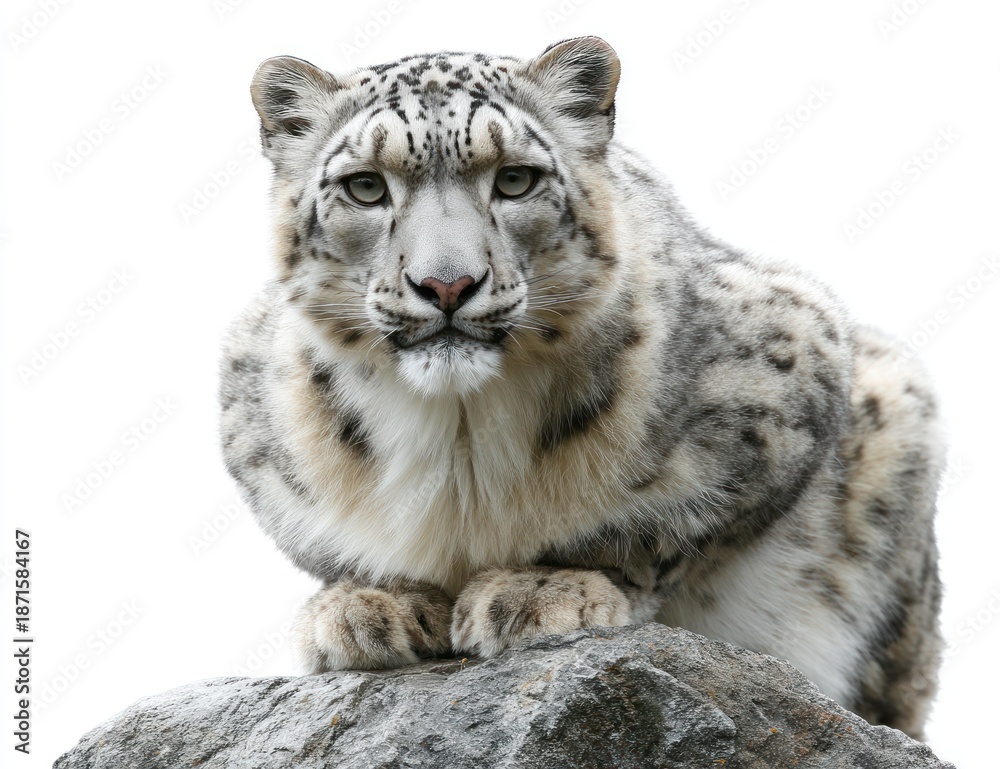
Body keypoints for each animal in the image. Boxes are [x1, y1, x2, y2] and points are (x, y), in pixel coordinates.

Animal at [219, 36, 944, 739]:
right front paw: (368, 603)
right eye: (366, 187)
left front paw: (543, 588)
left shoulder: (788, 384)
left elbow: (654, 529)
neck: (458, 433)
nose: (448, 285)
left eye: (515, 179)